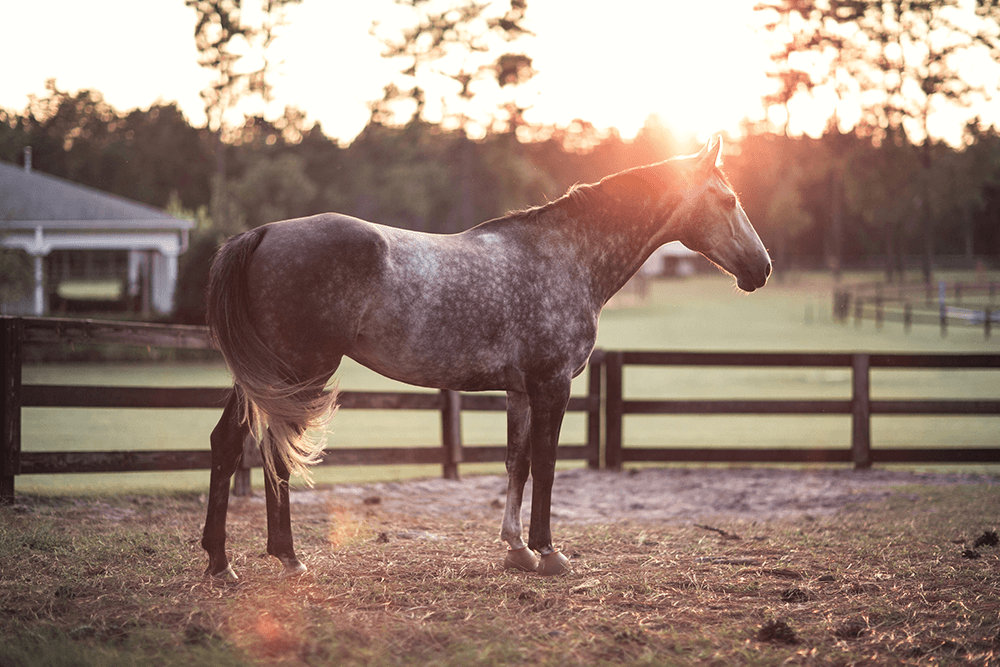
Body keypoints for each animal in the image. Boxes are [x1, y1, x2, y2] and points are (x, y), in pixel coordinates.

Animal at [200, 137, 771, 580]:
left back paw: (241, 559)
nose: (762, 268)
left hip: (270, 378)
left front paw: (516, 549)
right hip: (298, 373)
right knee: (262, 450)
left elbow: (516, 463)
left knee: (232, 444)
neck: (566, 256)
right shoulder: (553, 385)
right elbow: (545, 464)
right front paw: (548, 552)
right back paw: (260, 560)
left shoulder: (519, 391)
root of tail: (264, 233)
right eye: (726, 199)